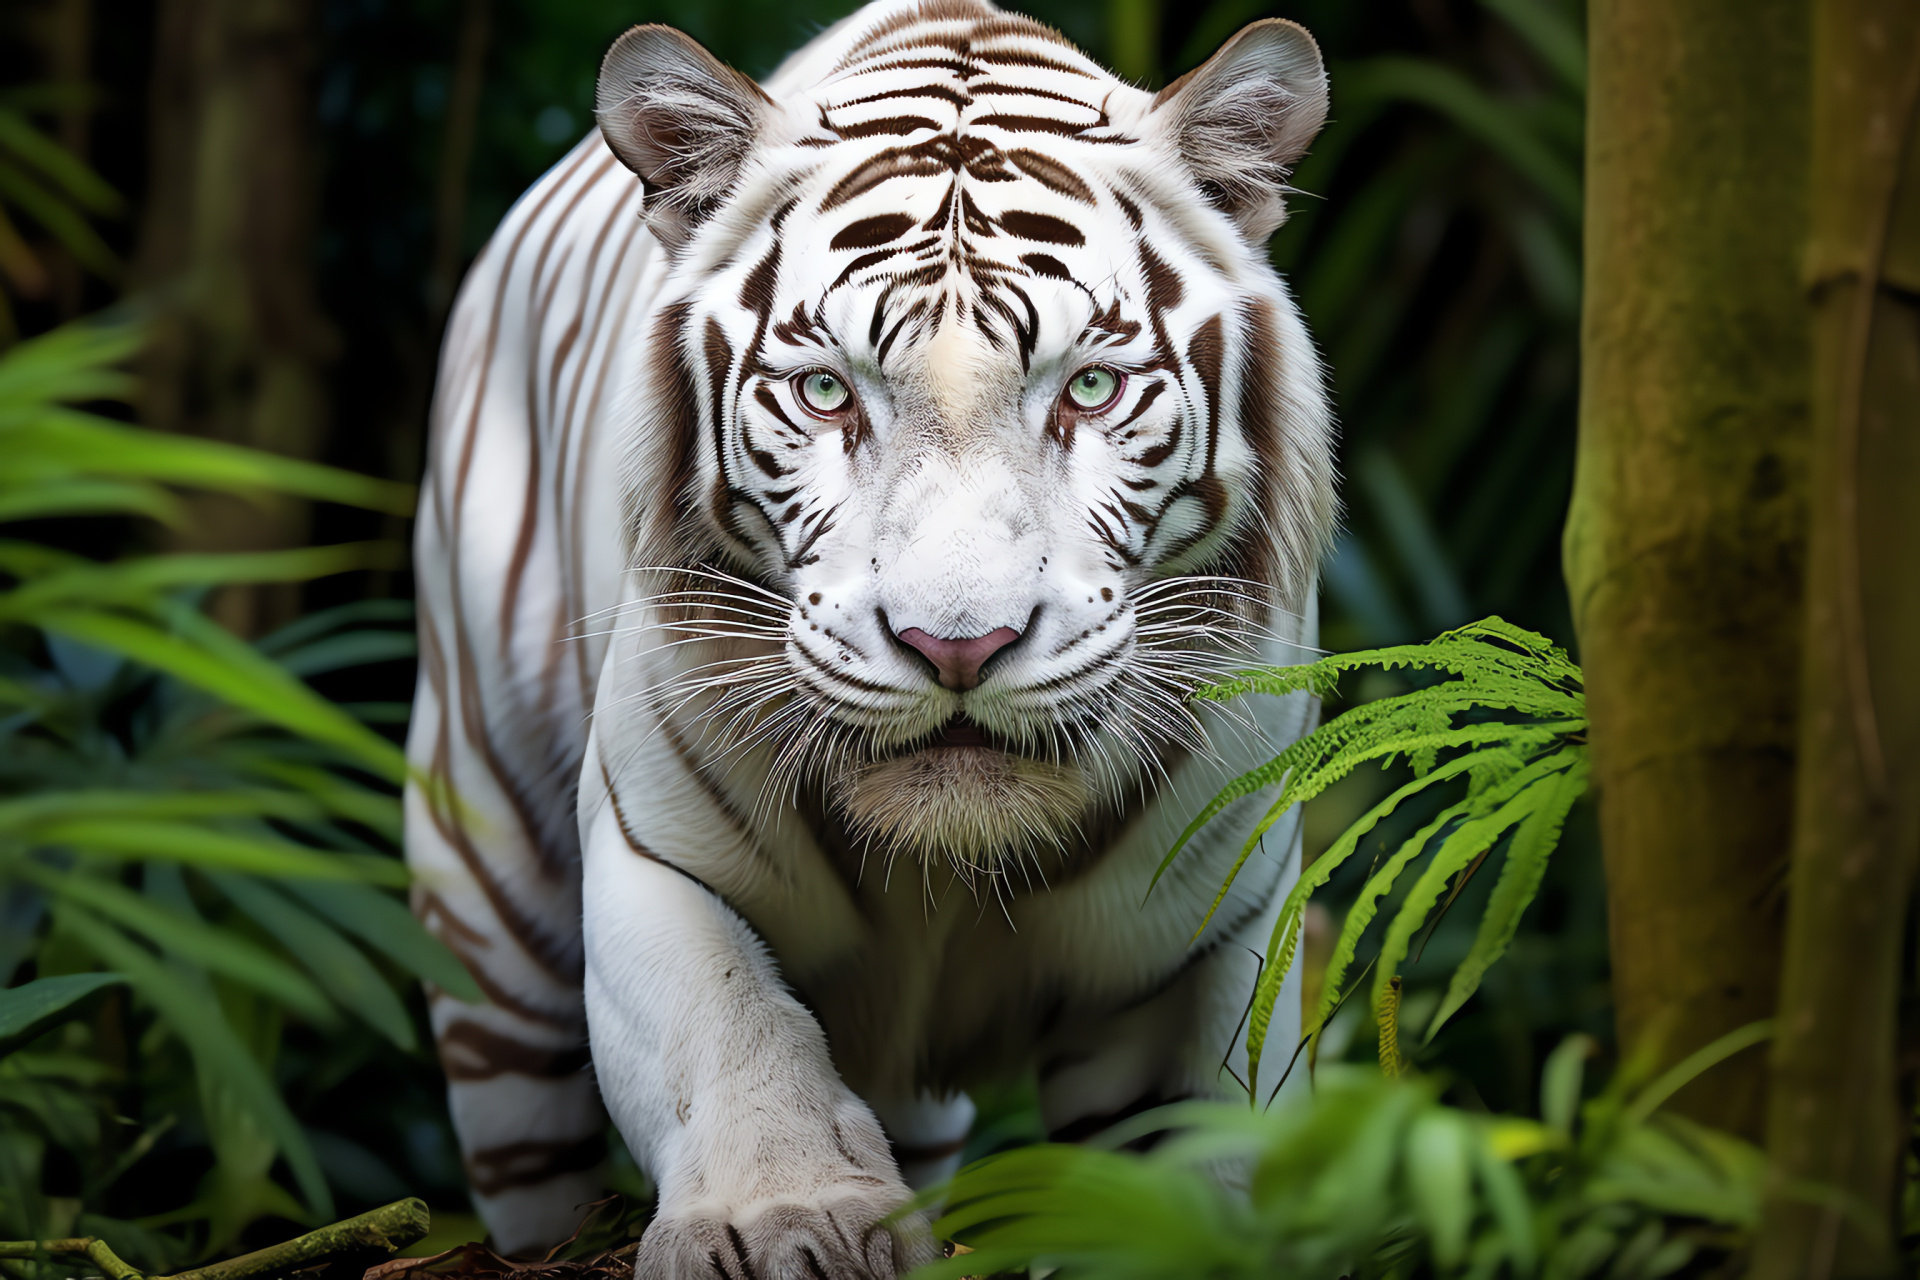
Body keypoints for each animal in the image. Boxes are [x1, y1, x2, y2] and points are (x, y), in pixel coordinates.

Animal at [405, 2, 1336, 1274]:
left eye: (1091, 389)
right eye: (826, 393)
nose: (959, 647)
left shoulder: (1213, 927)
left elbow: (1199, 1149)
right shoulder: (656, 853)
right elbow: (728, 1021)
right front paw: (778, 1218)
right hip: (488, 915)